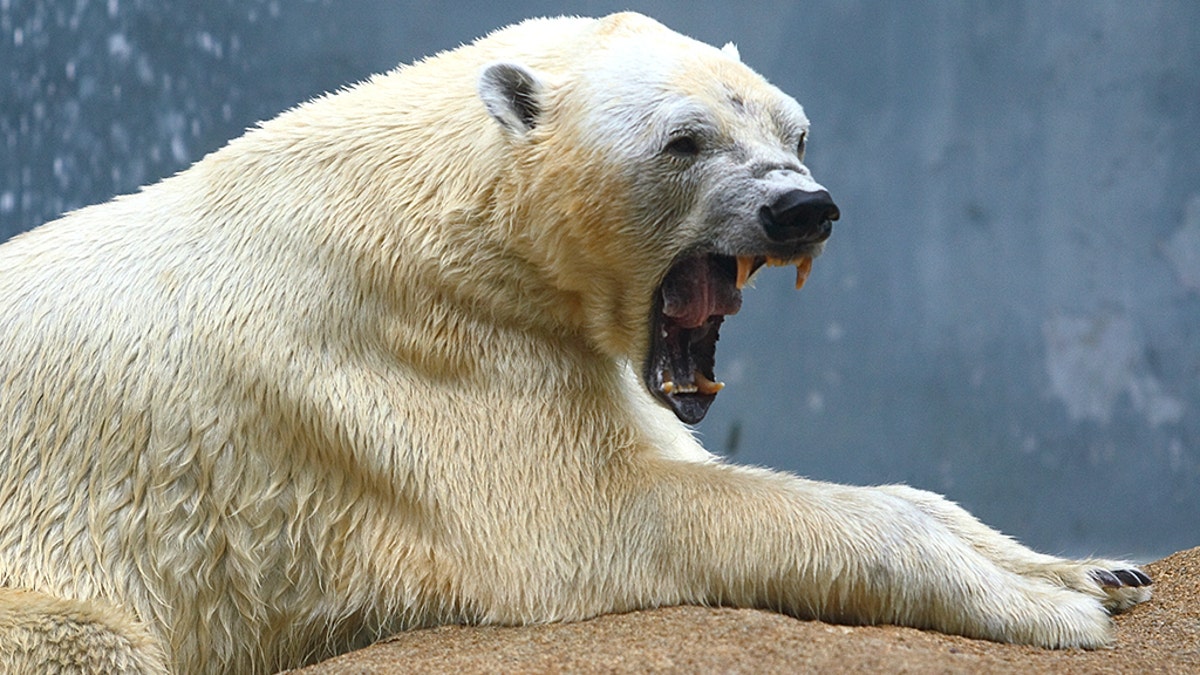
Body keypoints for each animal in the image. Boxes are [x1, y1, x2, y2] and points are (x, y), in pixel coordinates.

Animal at [0, 11, 1152, 672]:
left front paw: (1096, 569)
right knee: (94, 643)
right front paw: (1049, 611)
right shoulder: (419, 353)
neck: (448, 223)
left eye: (796, 129)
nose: (803, 208)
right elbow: (609, 517)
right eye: (685, 141)